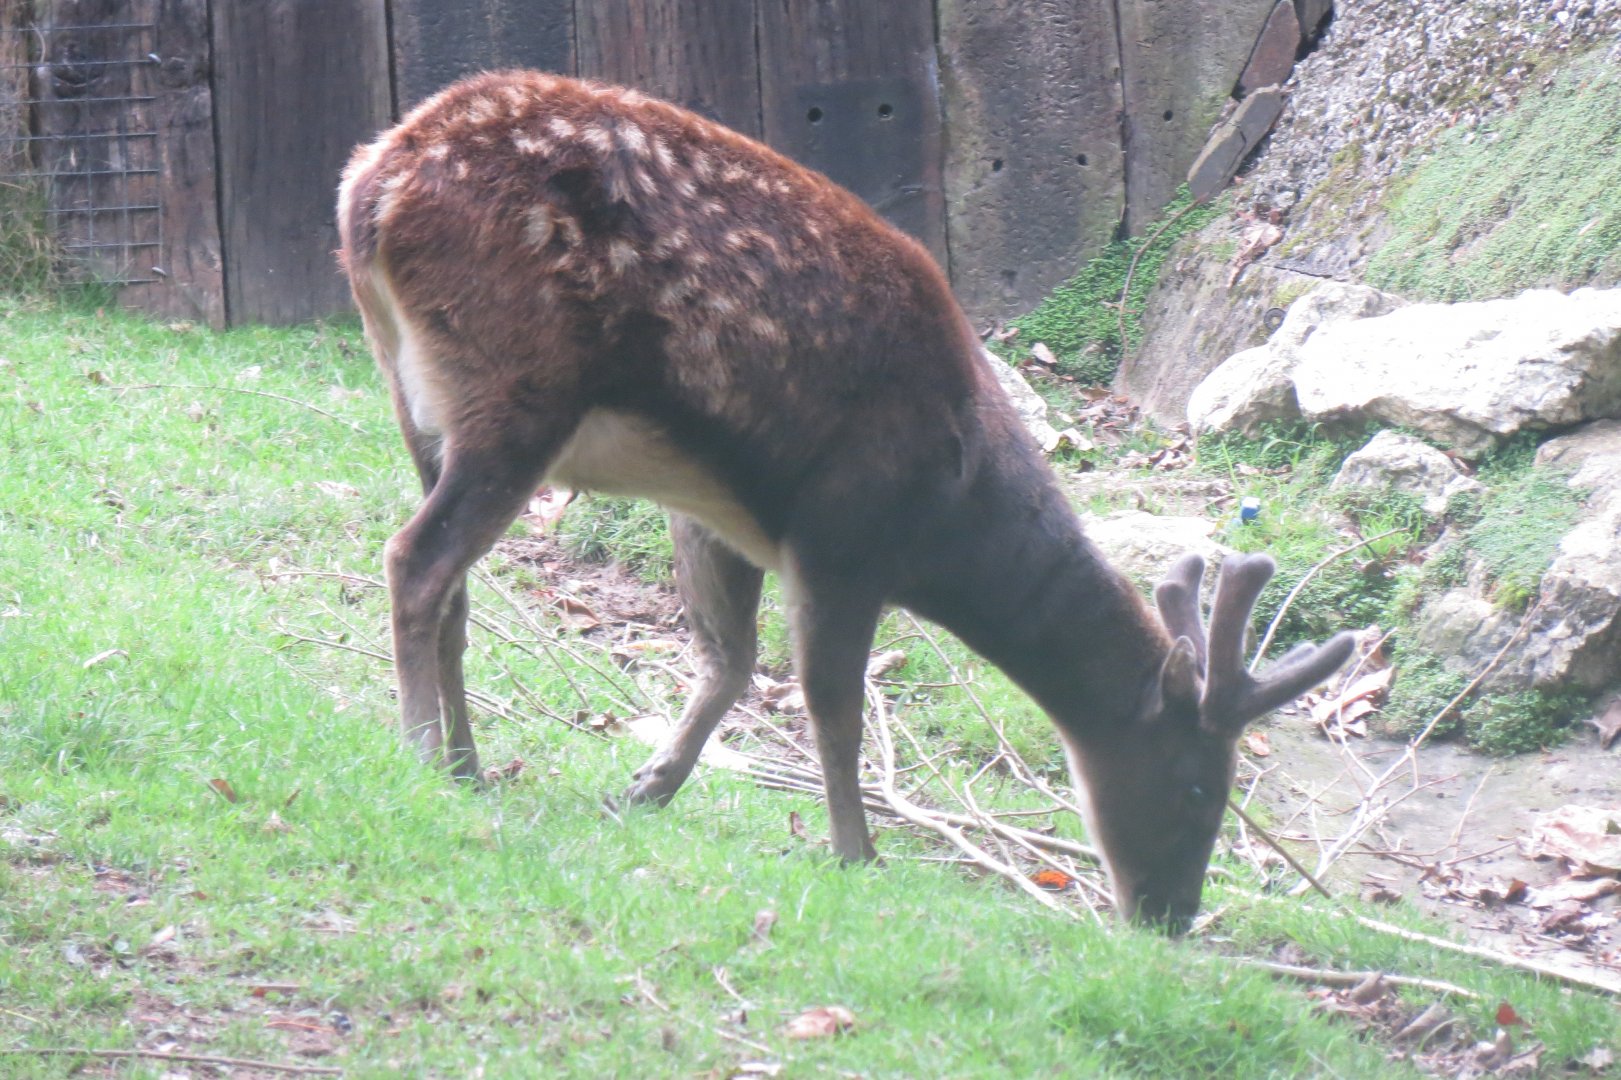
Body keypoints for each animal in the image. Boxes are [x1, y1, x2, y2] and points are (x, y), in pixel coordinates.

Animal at [337, 70, 1354, 930]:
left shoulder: (716, 514)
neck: (952, 508)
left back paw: (469, 763)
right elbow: (830, 701)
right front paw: (858, 855)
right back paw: (424, 752)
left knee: (453, 586)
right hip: (516, 385)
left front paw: (643, 787)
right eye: (1198, 786)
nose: (1169, 916)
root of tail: (371, 185)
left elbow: (727, 663)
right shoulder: (844, 528)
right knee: (415, 560)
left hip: (418, 395)